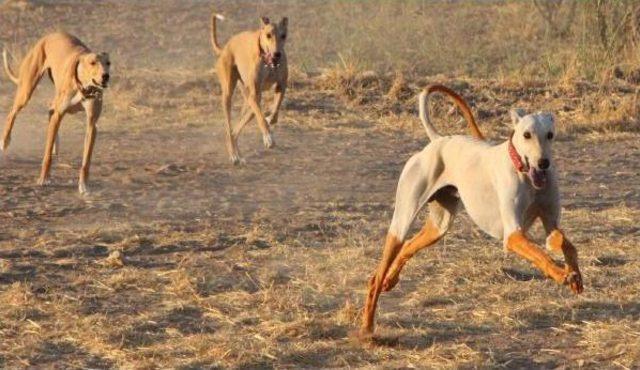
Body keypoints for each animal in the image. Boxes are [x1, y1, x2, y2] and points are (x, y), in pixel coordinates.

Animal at [1, 32, 110, 195]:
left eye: (108, 63)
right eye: (92, 63)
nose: (106, 76)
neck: (83, 86)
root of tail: (50, 34)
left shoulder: (92, 124)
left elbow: (86, 161)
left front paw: (83, 185)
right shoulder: (60, 113)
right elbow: (46, 157)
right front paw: (43, 179)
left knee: (50, 109)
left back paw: (54, 145)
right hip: (26, 90)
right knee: (12, 113)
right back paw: (5, 140)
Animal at [211, 11, 288, 165]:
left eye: (283, 35)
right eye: (268, 35)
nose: (277, 54)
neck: (268, 62)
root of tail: (225, 48)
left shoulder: (281, 86)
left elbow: (274, 112)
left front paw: (270, 120)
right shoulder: (254, 95)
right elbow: (262, 119)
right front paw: (268, 138)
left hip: (248, 100)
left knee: (236, 129)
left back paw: (238, 153)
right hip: (229, 95)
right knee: (229, 128)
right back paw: (234, 155)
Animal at [360, 85, 584, 340]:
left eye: (550, 135)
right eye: (527, 135)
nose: (543, 163)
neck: (525, 174)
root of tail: (438, 141)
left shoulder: (550, 221)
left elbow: (566, 244)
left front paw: (575, 275)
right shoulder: (513, 235)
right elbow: (541, 255)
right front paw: (561, 274)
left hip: (439, 227)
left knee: (408, 247)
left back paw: (391, 280)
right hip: (402, 221)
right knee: (377, 275)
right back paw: (367, 326)